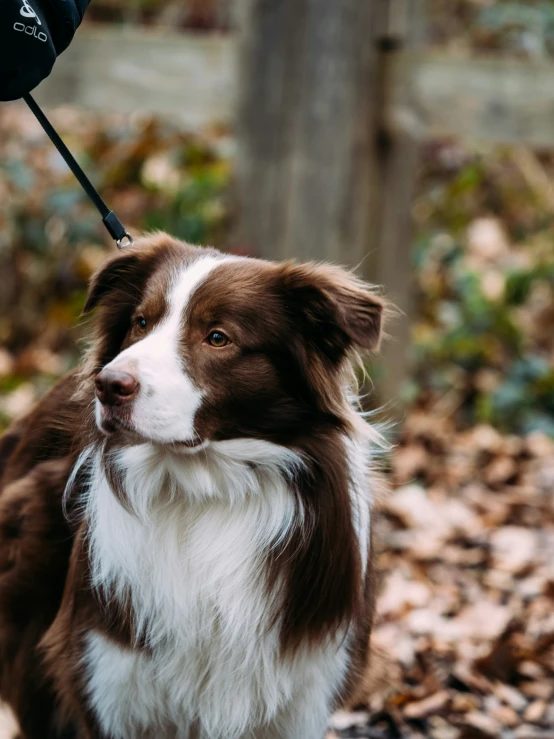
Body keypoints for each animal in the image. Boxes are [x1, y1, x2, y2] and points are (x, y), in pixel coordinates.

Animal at [0, 233, 386, 739]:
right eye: (141, 322)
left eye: (218, 337)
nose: (108, 385)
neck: (204, 490)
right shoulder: (104, 673)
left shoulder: (305, 687)